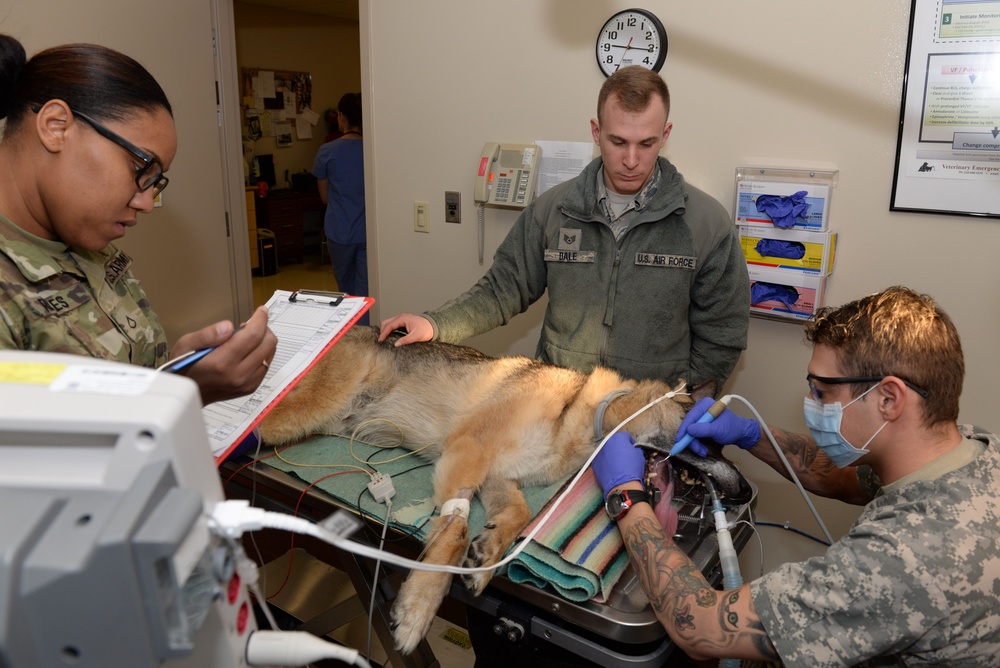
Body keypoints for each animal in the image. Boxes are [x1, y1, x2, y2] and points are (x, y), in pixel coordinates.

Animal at [258, 324, 752, 652]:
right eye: (708, 440)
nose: (746, 492)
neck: (585, 413)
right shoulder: (466, 453)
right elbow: (454, 528)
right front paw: (420, 606)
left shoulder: (500, 477)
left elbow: (517, 515)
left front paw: (488, 552)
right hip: (296, 414)